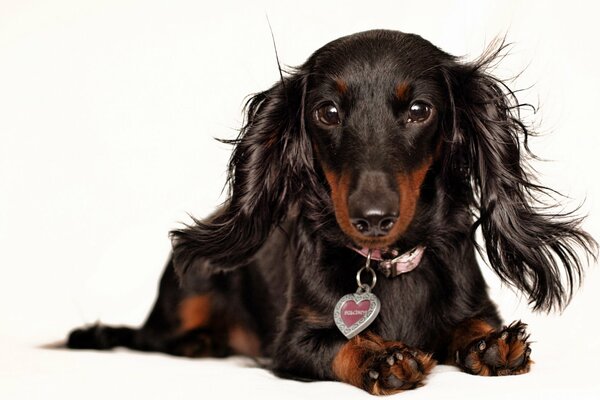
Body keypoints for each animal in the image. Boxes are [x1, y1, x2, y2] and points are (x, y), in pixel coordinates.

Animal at [67, 30, 596, 394]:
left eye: (419, 110)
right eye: (328, 112)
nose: (373, 218)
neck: (388, 265)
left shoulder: (475, 302)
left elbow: (472, 323)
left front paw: (490, 343)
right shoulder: (293, 342)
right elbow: (339, 344)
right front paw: (381, 359)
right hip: (190, 287)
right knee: (153, 338)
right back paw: (199, 342)